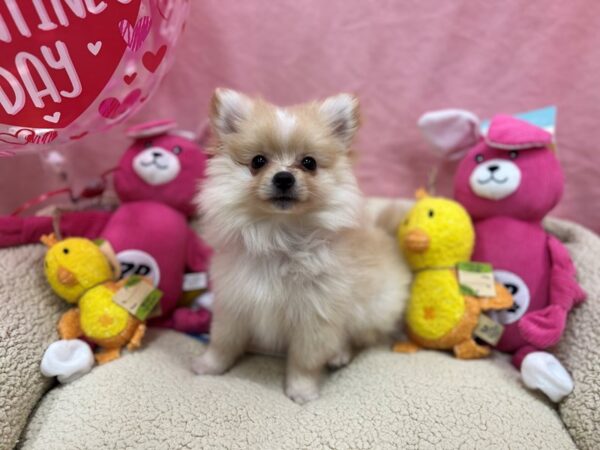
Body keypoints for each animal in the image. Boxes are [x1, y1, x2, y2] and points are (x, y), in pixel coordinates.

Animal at [195, 89, 410, 404]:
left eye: (309, 163)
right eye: (258, 161)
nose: (284, 177)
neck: (279, 235)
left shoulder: (314, 318)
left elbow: (304, 361)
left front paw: (302, 391)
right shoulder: (234, 304)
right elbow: (223, 341)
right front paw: (209, 366)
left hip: (371, 311)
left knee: (361, 338)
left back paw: (340, 354)